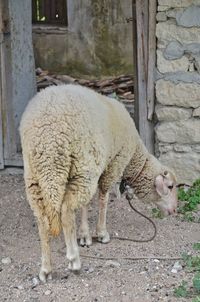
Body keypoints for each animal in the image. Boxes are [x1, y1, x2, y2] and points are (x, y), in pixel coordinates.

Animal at [19, 84, 177, 282]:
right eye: (170, 186)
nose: (175, 210)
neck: (134, 157)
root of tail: (47, 138)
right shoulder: (113, 163)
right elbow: (103, 198)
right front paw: (101, 233)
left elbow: (85, 205)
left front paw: (84, 235)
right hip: (80, 165)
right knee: (66, 212)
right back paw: (74, 260)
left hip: (36, 174)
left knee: (42, 220)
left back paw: (46, 269)